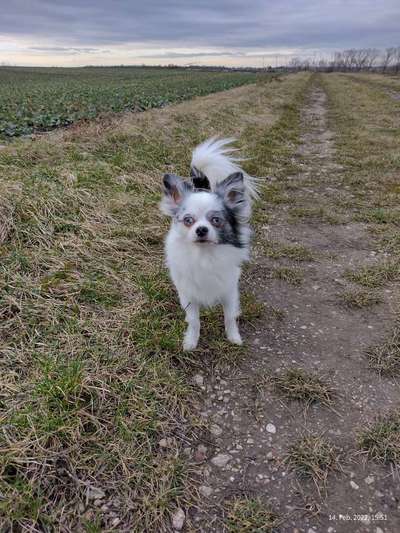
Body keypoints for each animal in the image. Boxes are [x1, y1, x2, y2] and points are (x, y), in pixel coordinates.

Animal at [160, 138, 258, 350]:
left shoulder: (229, 290)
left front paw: (233, 337)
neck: (205, 255)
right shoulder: (188, 295)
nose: (201, 230)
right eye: (188, 220)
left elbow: (229, 317)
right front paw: (191, 341)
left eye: (216, 220)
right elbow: (194, 321)